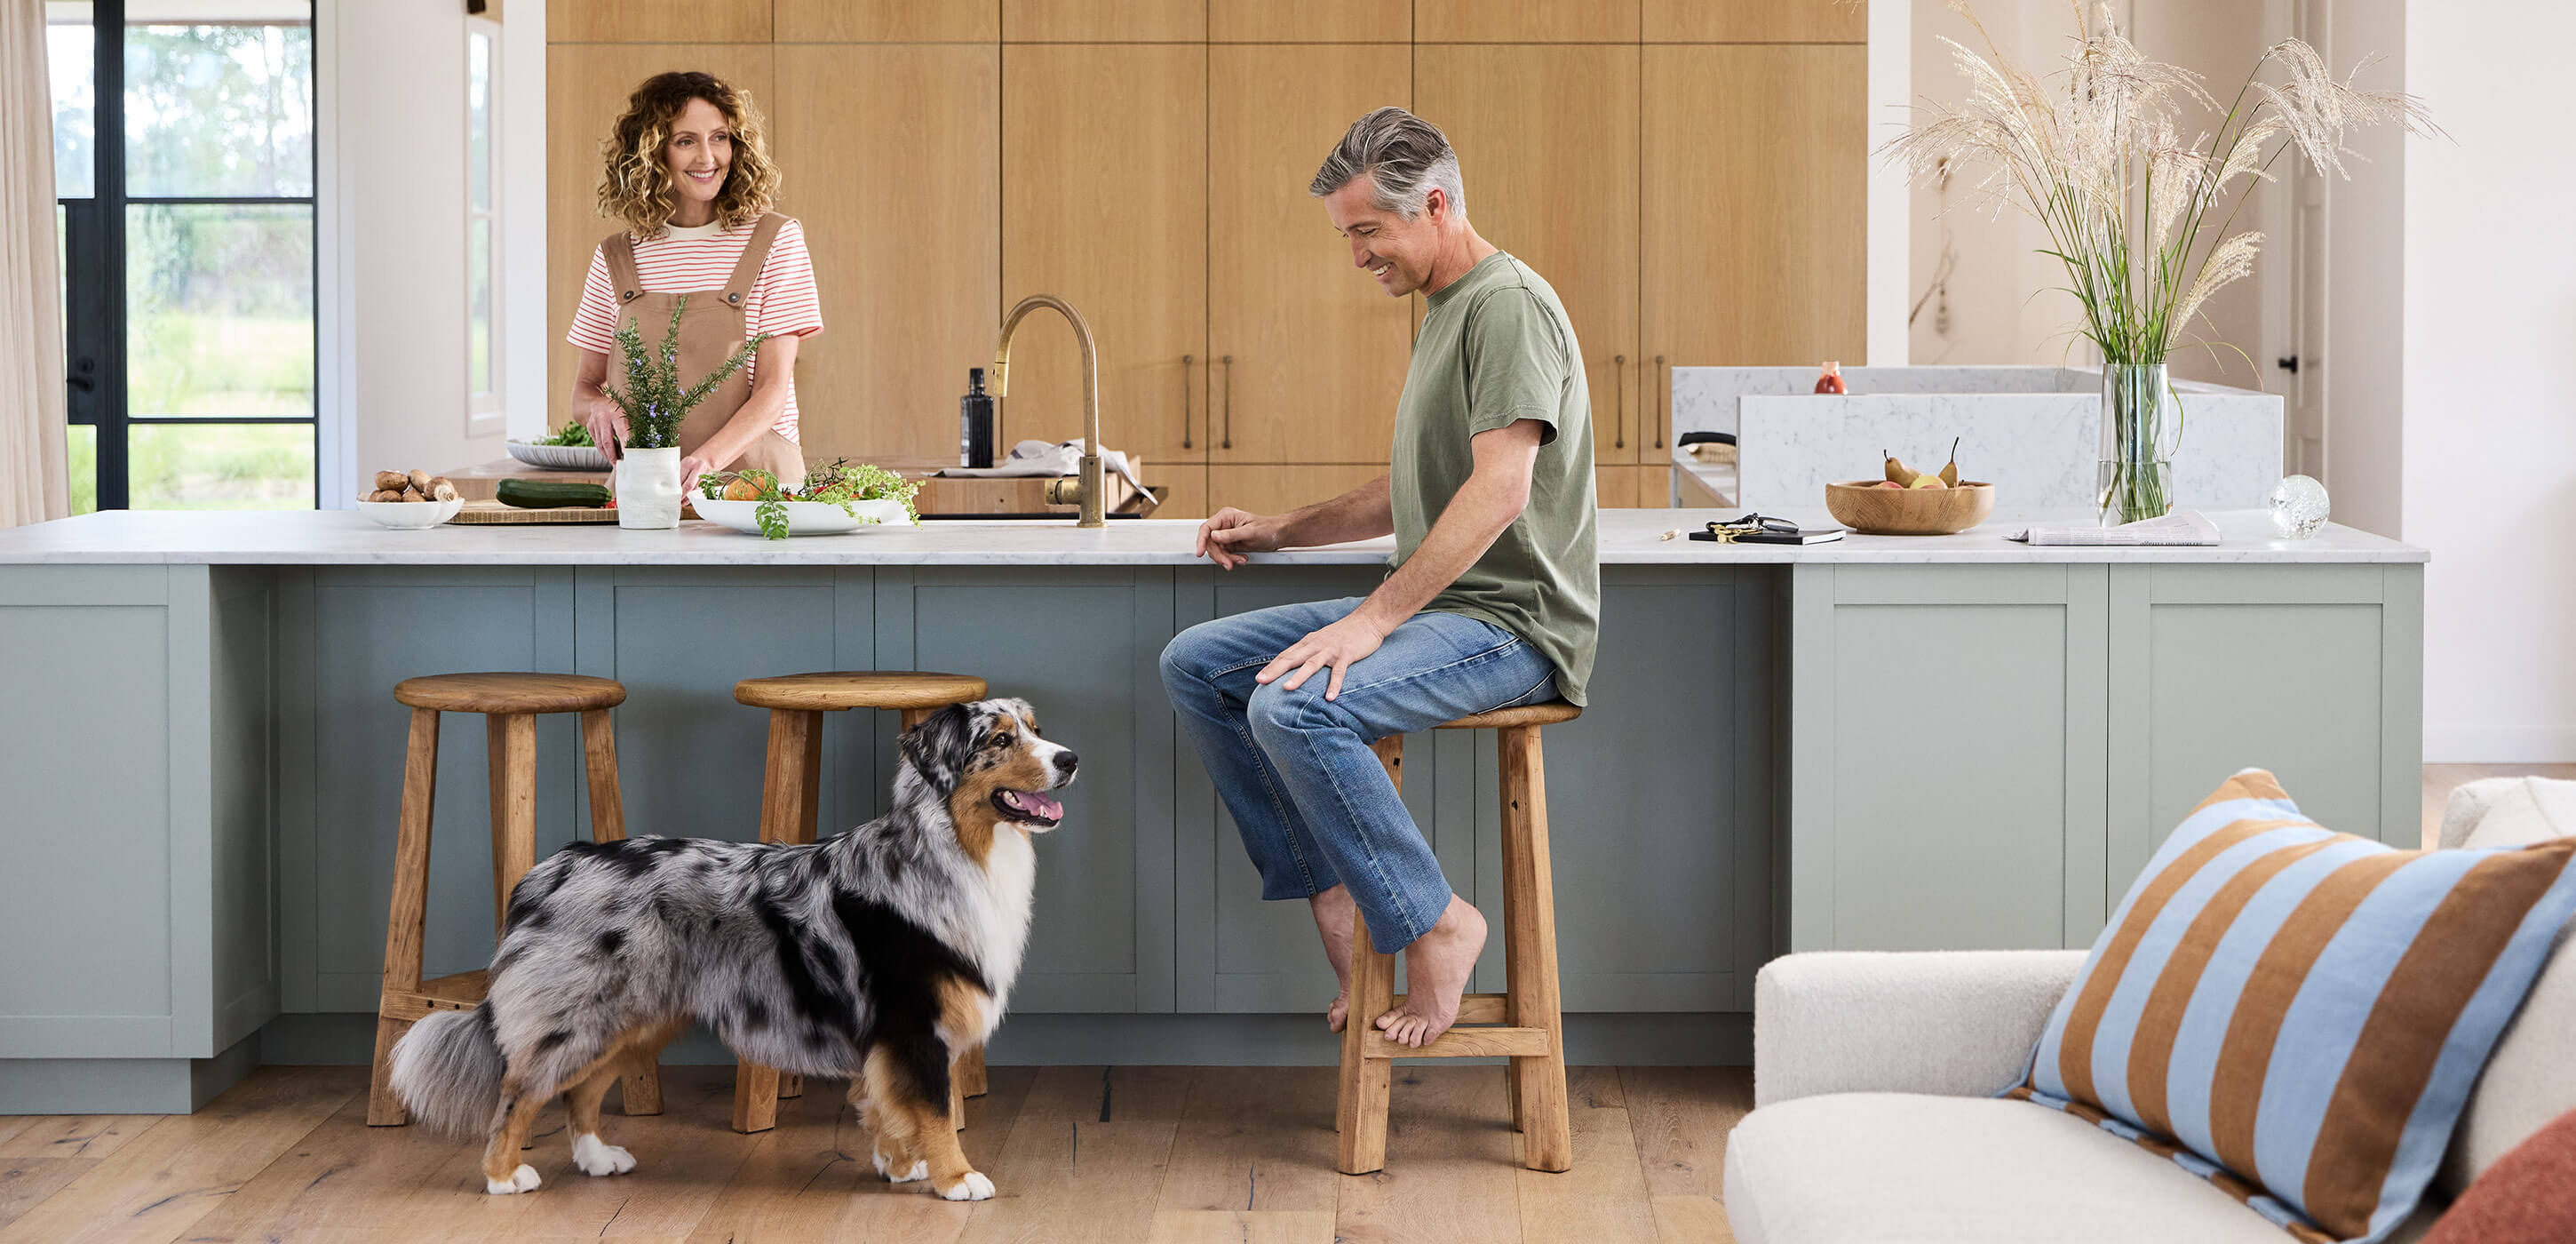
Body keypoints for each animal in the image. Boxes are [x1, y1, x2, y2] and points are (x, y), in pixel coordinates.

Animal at [384, 695, 1066, 1200]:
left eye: (1037, 730)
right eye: (999, 740)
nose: (1072, 758)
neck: (953, 850)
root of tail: (546, 872)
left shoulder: (896, 1038)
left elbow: (889, 1105)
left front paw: (900, 1168)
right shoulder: (913, 1022)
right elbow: (936, 1108)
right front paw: (958, 1179)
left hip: (631, 1019)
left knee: (580, 1089)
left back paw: (597, 1158)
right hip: (578, 1016)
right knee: (517, 1091)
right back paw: (503, 1177)